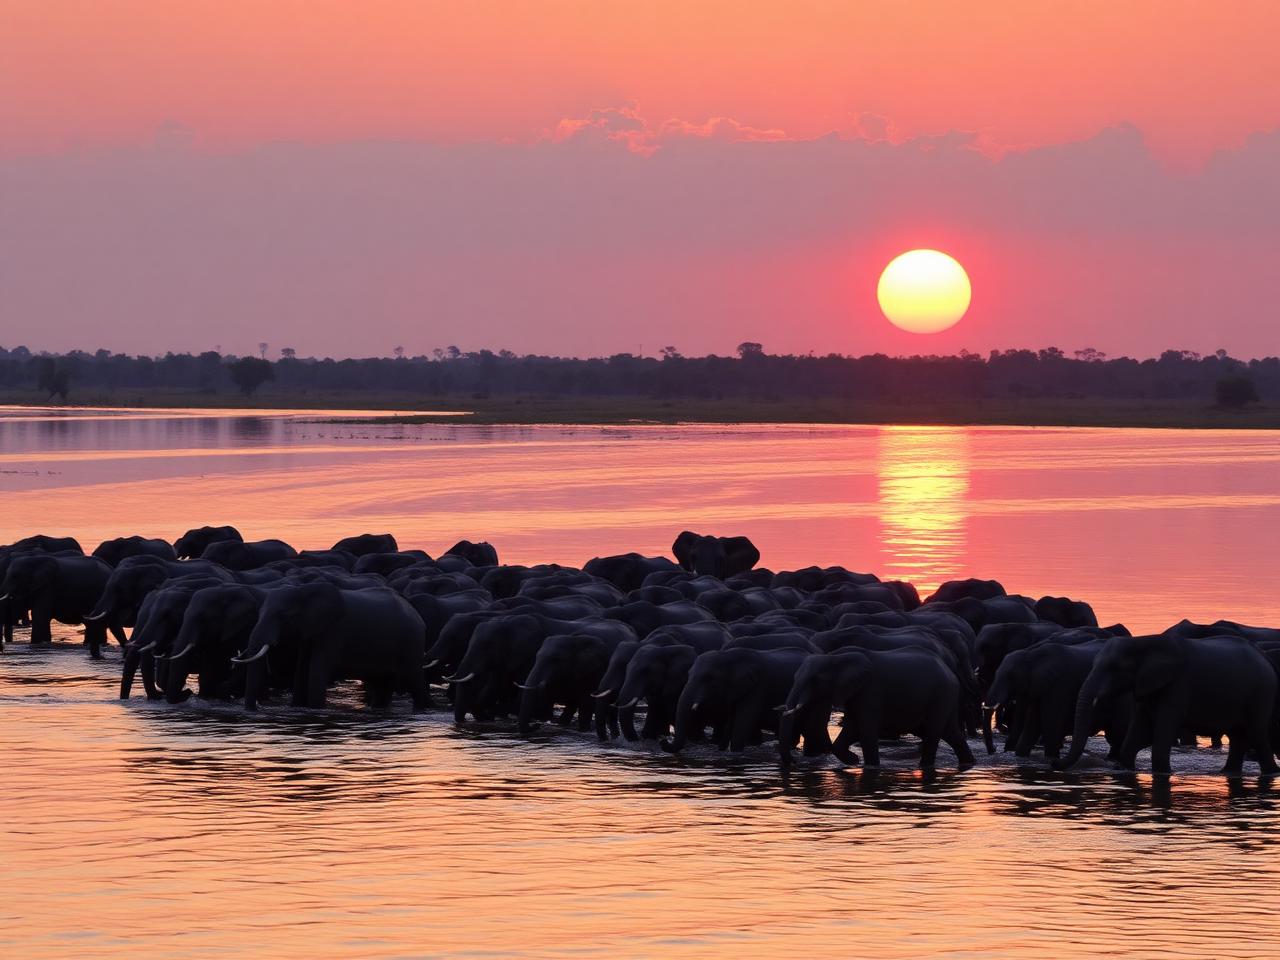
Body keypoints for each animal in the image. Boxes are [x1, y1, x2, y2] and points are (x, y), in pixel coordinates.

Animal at [238, 583, 429, 710]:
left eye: (284, 616)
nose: (255, 709)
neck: (303, 591)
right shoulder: (308, 633)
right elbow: (301, 671)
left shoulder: (334, 631)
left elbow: (316, 674)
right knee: (383, 684)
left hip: (412, 642)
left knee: (415, 680)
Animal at [661, 647, 809, 753]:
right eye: (689, 674)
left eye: (709, 678)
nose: (663, 741)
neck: (727, 657)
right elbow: (730, 721)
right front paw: (721, 750)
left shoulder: (758, 689)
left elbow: (743, 722)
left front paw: (735, 753)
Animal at [779, 648, 975, 772]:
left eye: (815, 679)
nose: (794, 762)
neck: (836, 657)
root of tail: (951, 672)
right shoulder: (855, 693)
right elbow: (851, 730)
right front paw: (854, 761)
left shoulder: (870, 692)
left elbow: (866, 731)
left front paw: (868, 766)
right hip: (945, 698)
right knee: (951, 732)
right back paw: (968, 763)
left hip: (941, 695)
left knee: (935, 732)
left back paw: (926, 767)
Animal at [1054, 634, 1279, 775]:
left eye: (1114, 667)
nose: (1054, 763)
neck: (1143, 643)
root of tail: (1265, 658)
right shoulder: (1146, 687)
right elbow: (1138, 736)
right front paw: (1125, 769)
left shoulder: (1177, 686)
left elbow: (1161, 733)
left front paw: (1164, 772)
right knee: (1239, 736)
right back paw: (1227, 772)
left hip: (1261, 694)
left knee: (1257, 735)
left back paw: (1271, 772)